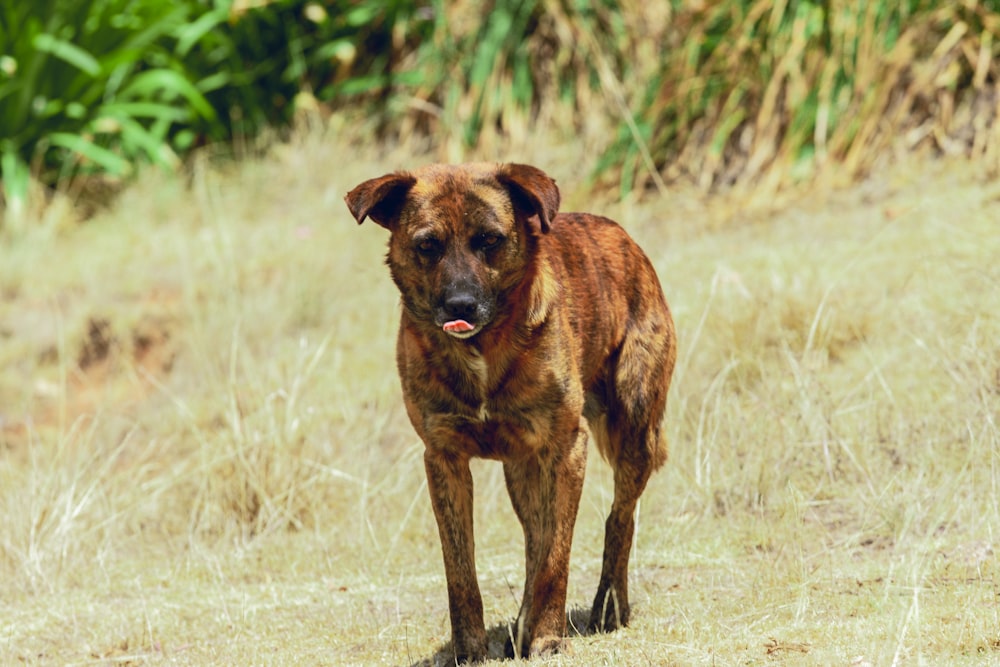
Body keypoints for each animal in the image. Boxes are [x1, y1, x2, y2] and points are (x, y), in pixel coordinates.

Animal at [346, 163, 680, 664]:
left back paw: (607, 607)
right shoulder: (443, 460)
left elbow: (555, 559)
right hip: (523, 470)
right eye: (427, 245)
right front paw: (470, 649)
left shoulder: (567, 449)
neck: (482, 350)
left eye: (490, 239)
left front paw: (546, 637)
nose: (460, 306)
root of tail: (623, 237)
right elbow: (462, 570)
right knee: (534, 538)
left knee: (617, 519)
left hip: (634, 429)